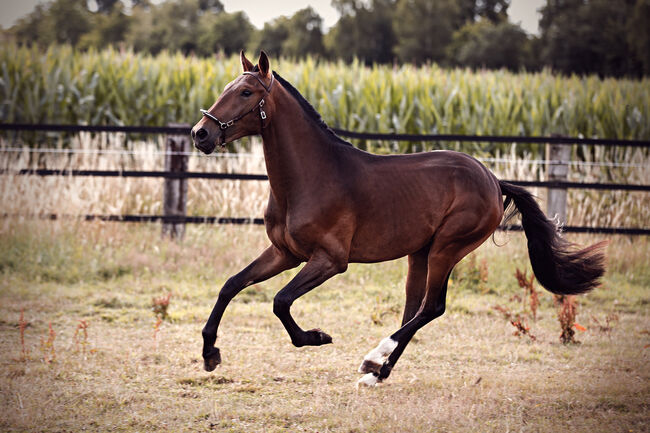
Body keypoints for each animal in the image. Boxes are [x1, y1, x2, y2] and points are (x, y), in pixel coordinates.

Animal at [190, 50, 604, 384]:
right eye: (226, 87)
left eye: (246, 93)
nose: (200, 133)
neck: (310, 177)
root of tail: (493, 180)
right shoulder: (284, 253)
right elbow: (231, 285)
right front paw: (210, 354)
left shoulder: (330, 260)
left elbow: (280, 301)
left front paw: (317, 337)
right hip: (419, 253)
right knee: (414, 308)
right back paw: (378, 371)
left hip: (447, 248)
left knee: (431, 307)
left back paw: (374, 359)